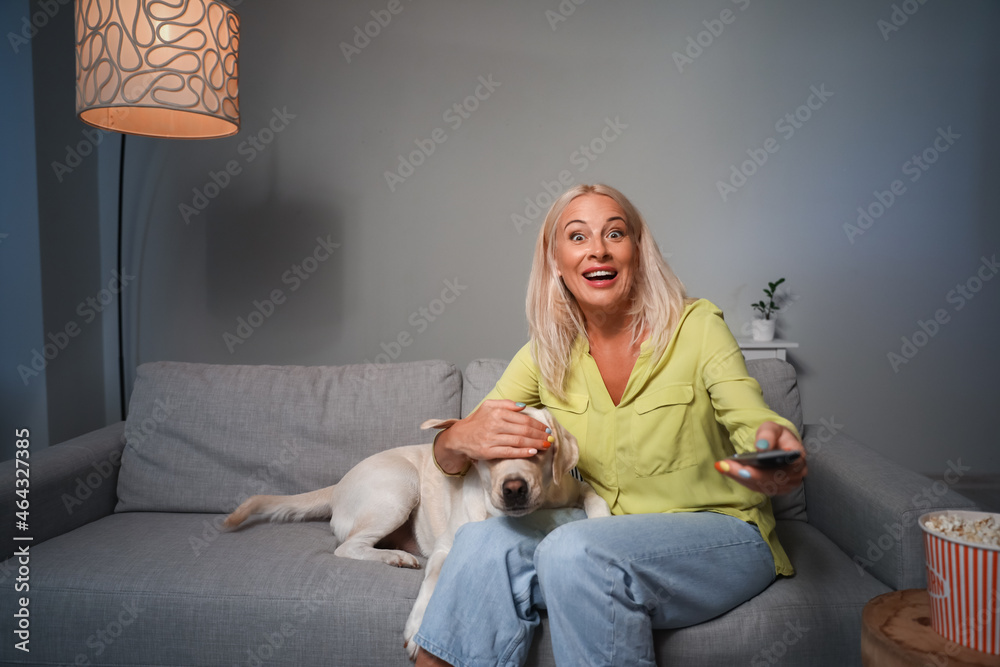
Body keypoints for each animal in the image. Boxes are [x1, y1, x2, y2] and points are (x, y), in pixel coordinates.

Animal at [223, 404, 608, 660]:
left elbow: (595, 498)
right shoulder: (444, 549)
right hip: (401, 486)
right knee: (347, 547)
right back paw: (395, 556)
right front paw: (416, 627)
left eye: (539, 451)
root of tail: (337, 485)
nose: (514, 489)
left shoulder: (574, 488)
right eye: (490, 455)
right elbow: (434, 582)